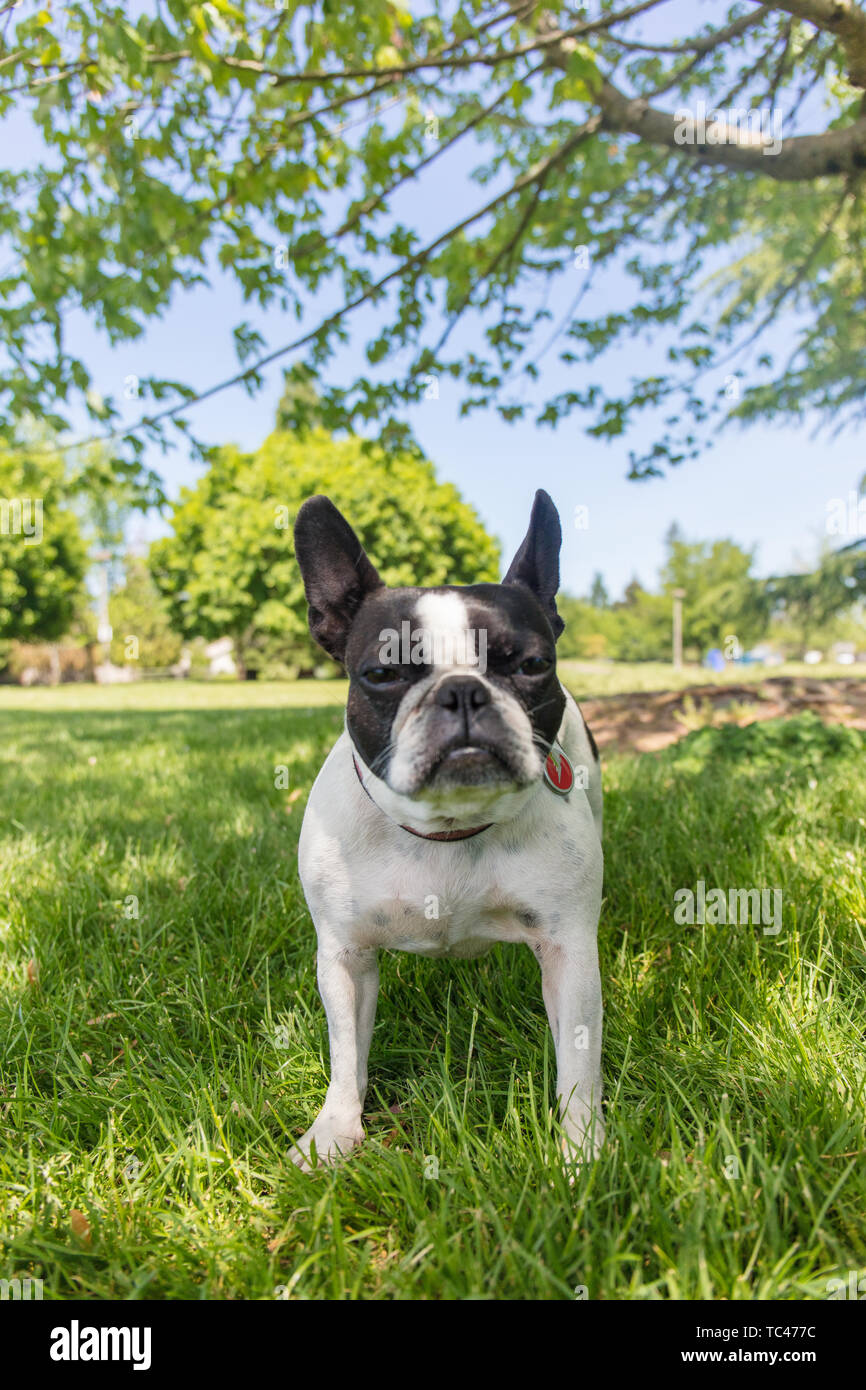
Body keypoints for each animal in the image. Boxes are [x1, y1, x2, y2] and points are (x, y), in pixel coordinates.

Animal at [291, 494, 603, 1167]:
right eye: (383, 674)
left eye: (533, 665)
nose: (462, 690)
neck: (448, 827)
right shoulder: (345, 956)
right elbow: (346, 1052)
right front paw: (334, 1131)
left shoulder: (568, 948)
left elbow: (579, 1061)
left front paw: (582, 1151)